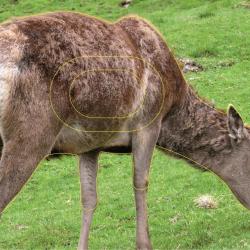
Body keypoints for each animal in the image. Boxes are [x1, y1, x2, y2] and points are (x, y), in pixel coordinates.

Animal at [0, 11, 250, 250]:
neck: (172, 110)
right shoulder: (148, 123)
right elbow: (140, 181)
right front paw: (144, 244)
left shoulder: (91, 144)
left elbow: (89, 198)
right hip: (31, 133)